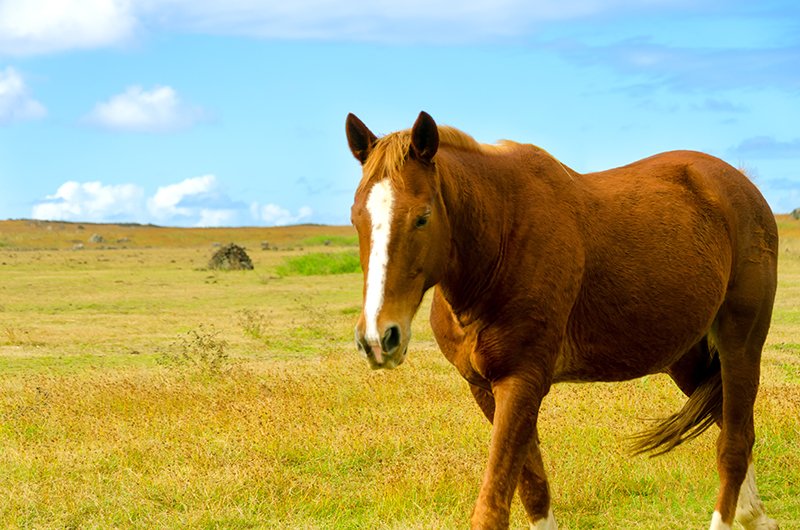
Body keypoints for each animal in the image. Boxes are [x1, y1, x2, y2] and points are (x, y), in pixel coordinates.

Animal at [346, 111, 780, 528]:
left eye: (422, 217)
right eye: (355, 217)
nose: (378, 338)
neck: (502, 240)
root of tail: (737, 183)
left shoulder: (521, 383)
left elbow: (493, 509)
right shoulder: (485, 390)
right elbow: (533, 489)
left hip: (740, 345)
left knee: (734, 444)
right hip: (685, 357)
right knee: (729, 423)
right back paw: (753, 514)